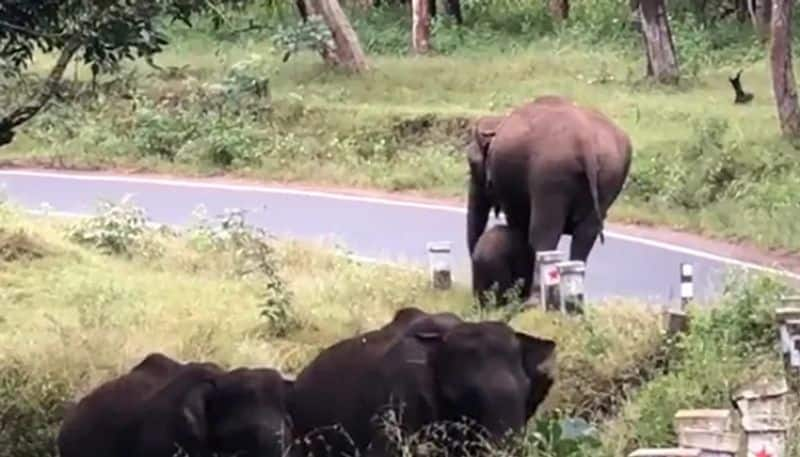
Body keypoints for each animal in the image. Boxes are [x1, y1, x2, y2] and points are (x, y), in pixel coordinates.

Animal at [468, 95, 632, 284]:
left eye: (471, 164)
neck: (498, 120)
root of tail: (584, 141)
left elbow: (518, 224)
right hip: (609, 175)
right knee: (585, 235)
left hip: (550, 175)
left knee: (543, 235)